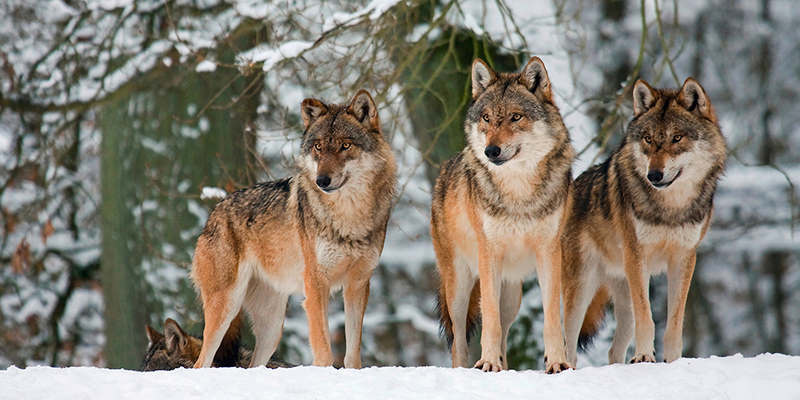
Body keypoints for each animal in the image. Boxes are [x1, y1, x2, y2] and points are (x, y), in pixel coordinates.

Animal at [191, 90, 396, 368]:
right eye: (318, 147)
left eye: (345, 145)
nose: (322, 181)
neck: (349, 216)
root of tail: (213, 213)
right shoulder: (316, 284)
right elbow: (324, 351)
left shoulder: (359, 284)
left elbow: (353, 353)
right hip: (226, 306)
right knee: (200, 362)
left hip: (273, 328)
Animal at [432, 57, 576, 374]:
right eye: (486, 118)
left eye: (515, 117)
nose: (491, 151)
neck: (518, 191)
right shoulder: (489, 254)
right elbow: (489, 321)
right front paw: (487, 362)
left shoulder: (550, 252)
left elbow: (551, 318)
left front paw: (557, 362)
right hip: (459, 290)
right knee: (459, 340)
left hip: (512, 297)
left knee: (506, 334)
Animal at [560, 77, 728, 366]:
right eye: (648, 139)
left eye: (677, 137)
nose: (654, 175)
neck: (670, 208)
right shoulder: (638, 257)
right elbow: (647, 318)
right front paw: (644, 357)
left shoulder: (684, 258)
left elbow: (674, 323)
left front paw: (673, 362)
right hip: (581, 288)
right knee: (568, 341)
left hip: (622, 294)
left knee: (613, 350)